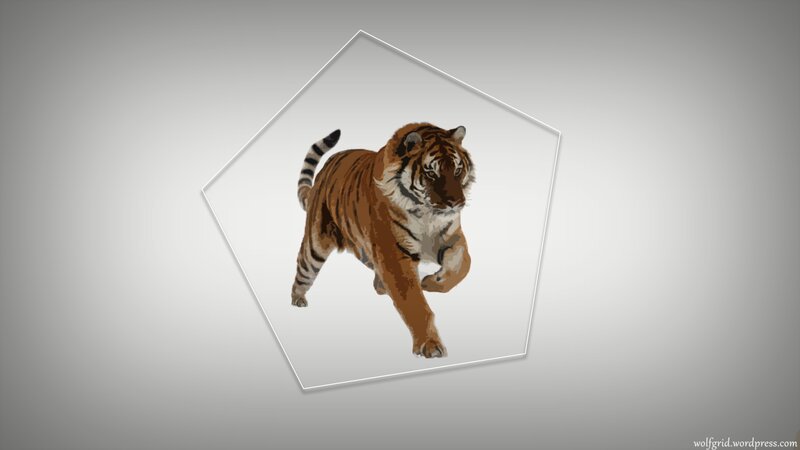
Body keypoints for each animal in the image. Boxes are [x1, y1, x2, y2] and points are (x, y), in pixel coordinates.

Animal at [291, 122, 475, 358]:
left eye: (457, 169)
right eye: (431, 173)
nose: (456, 203)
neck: (427, 215)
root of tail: (324, 171)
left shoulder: (452, 237)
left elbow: (463, 265)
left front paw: (433, 281)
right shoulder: (393, 254)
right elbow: (413, 301)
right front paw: (430, 345)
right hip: (315, 246)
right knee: (303, 270)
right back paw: (298, 299)